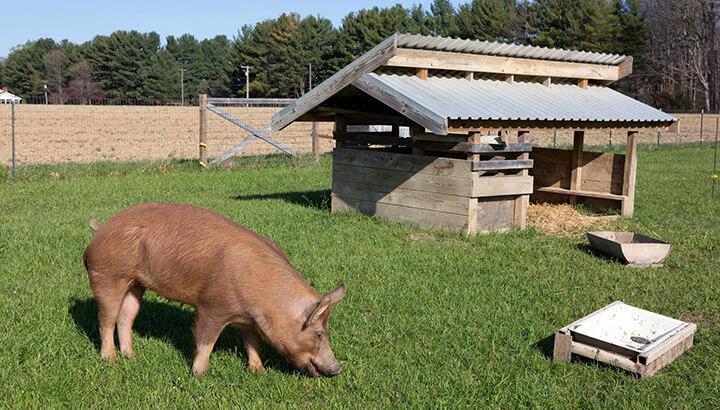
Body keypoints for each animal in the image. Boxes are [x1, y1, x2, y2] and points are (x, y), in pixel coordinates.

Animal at [82, 202, 346, 377]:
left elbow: (252, 342)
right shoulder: (212, 306)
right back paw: (111, 361)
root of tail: (101, 228)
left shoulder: (249, 321)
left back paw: (131, 356)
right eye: (319, 333)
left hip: (135, 284)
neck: (266, 301)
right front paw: (200, 374)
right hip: (107, 276)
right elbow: (205, 340)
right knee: (105, 319)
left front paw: (259, 371)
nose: (338, 368)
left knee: (126, 317)